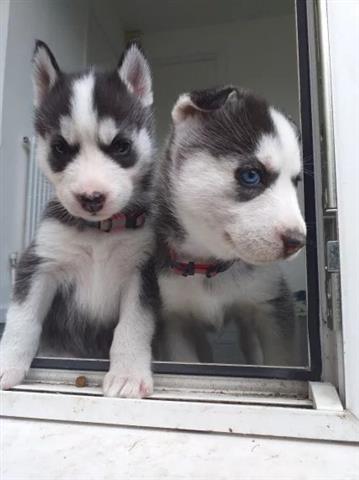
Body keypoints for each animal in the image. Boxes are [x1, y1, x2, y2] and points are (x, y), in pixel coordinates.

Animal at [0, 41, 158, 398]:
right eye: (60, 148)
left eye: (121, 146)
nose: (91, 197)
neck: (97, 233)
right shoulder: (39, 262)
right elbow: (21, 319)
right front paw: (7, 362)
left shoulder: (142, 272)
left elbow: (133, 325)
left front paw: (127, 373)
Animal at [153, 87, 308, 364]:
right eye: (251, 175)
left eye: (295, 181)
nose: (297, 241)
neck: (207, 265)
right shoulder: (173, 320)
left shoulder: (272, 303)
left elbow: (278, 361)